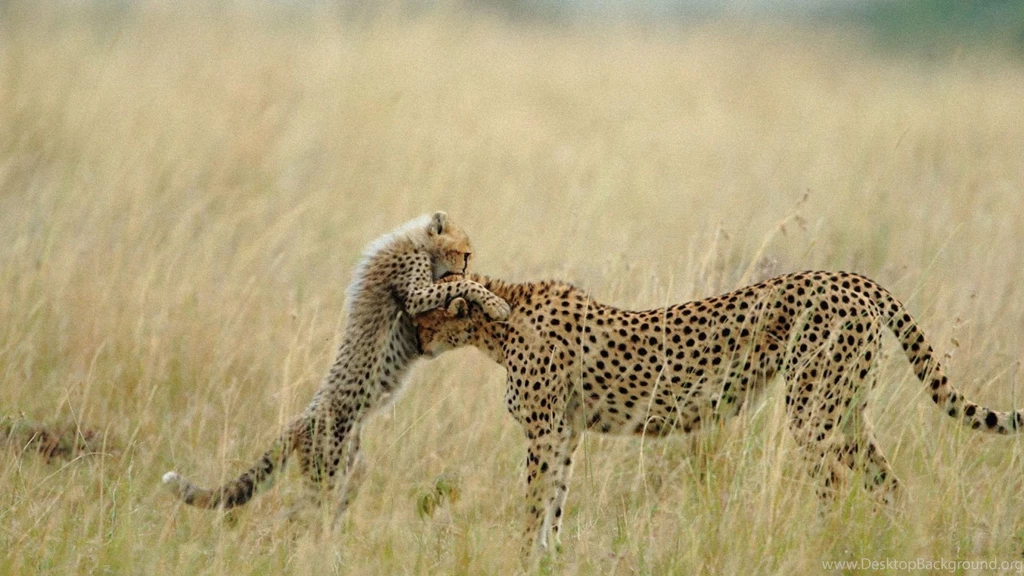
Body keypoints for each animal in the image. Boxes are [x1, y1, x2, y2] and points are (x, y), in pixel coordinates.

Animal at [162, 212, 511, 525]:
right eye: (465, 253)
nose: (467, 264)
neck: (417, 241)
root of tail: (299, 420)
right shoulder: (415, 294)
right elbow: (459, 286)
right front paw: (495, 303)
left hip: (351, 469)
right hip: (326, 473)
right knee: (299, 513)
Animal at [412, 270, 1024, 557]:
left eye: (419, 316)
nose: (413, 343)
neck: (496, 320)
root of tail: (851, 277)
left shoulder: (545, 434)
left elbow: (533, 506)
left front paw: (522, 556)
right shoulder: (564, 434)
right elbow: (554, 507)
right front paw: (549, 557)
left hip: (812, 409)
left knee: (833, 483)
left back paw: (823, 545)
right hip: (847, 410)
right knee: (888, 484)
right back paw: (879, 547)